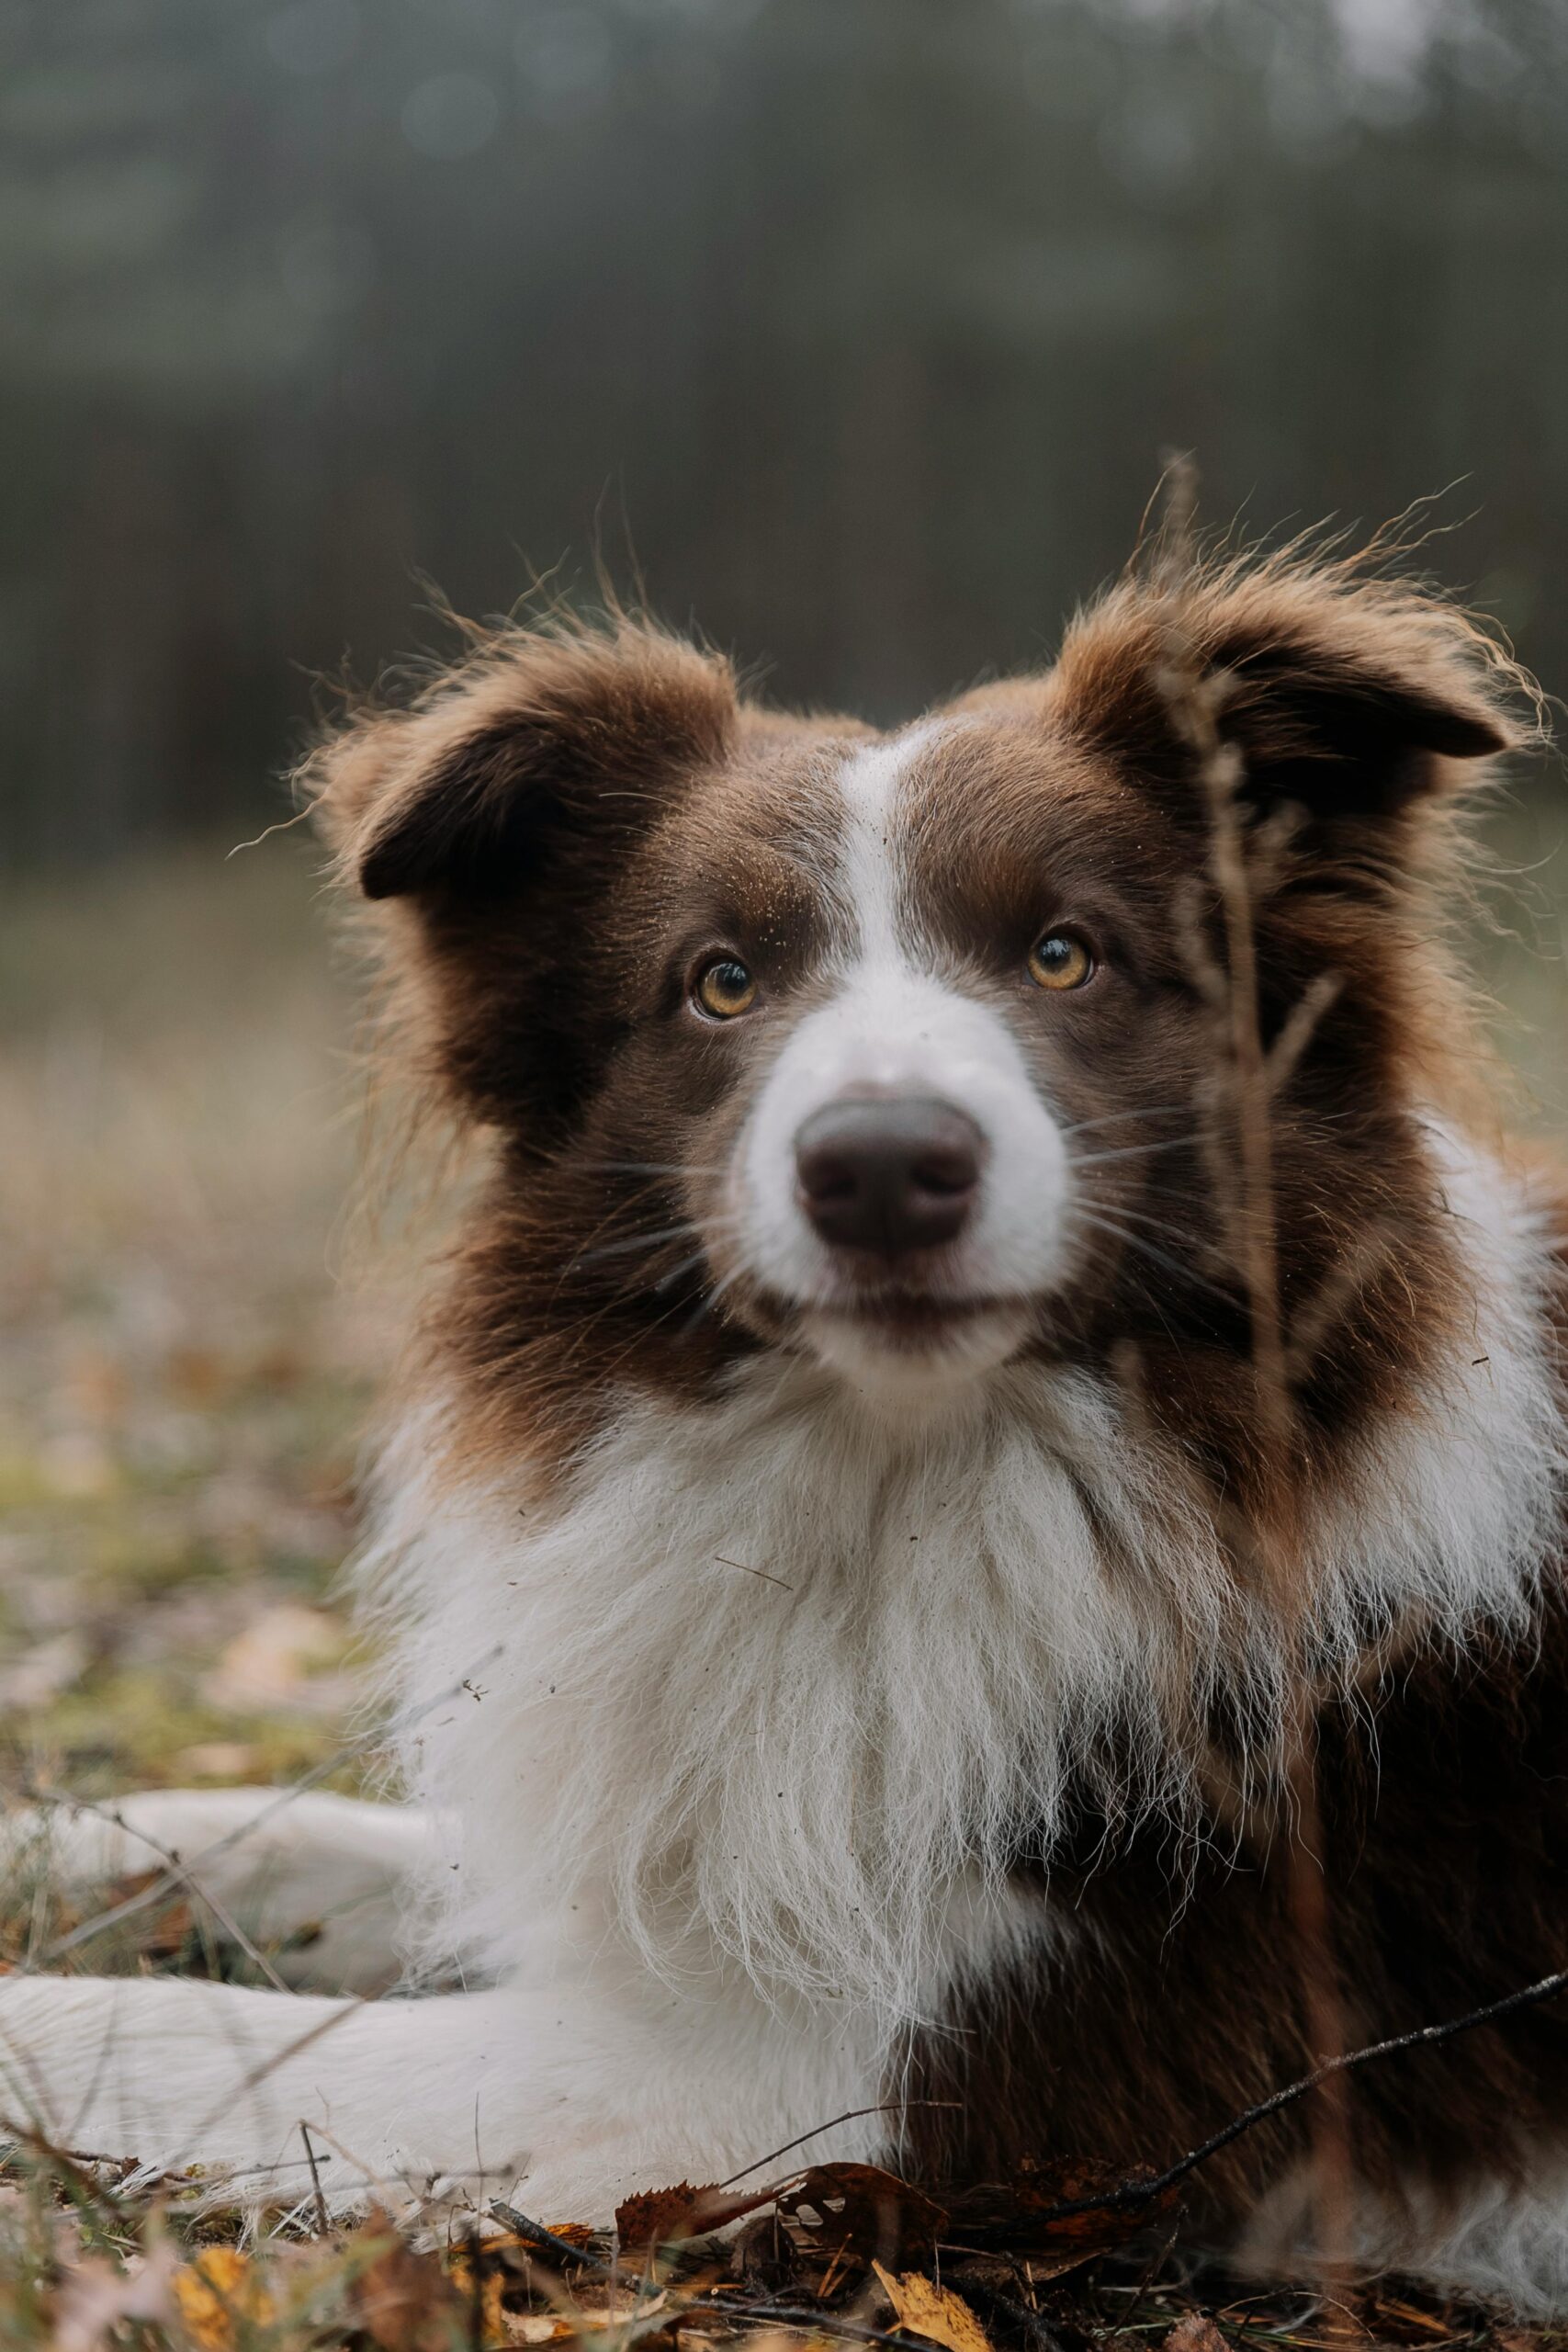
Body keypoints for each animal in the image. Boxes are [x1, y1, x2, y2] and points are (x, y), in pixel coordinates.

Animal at [3, 540, 1568, 2304]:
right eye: (720, 982)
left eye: (1063, 954)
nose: (881, 1165)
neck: (905, 1467)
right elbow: (335, 1846)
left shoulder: (836, 2078)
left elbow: (207, 2036)